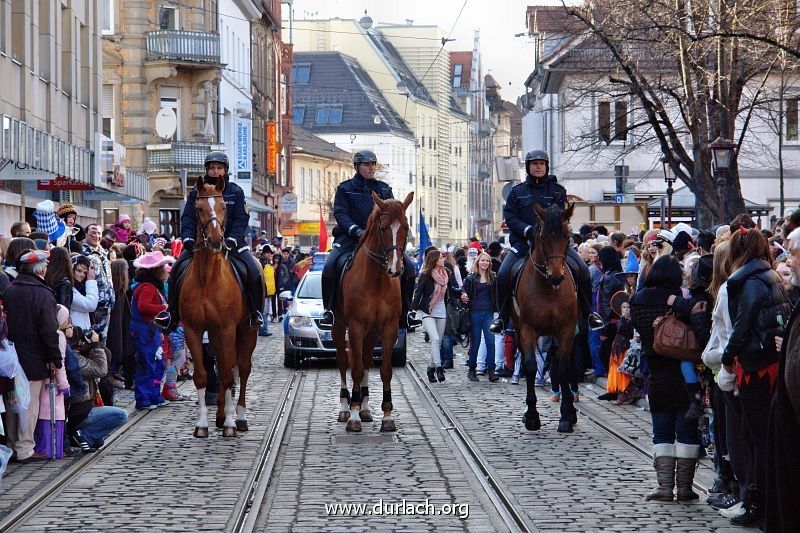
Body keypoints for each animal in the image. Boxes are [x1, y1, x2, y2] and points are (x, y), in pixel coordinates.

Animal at [180, 178, 258, 436]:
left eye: (224, 206)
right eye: (198, 209)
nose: (216, 241)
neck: (207, 279)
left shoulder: (227, 328)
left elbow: (226, 374)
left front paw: (231, 424)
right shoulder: (193, 330)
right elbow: (202, 376)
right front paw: (202, 424)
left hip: (246, 330)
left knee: (240, 369)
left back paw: (239, 417)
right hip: (214, 334)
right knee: (224, 366)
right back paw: (221, 415)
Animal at [334, 191, 416, 432]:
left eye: (406, 227)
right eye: (383, 228)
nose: (396, 269)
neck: (377, 280)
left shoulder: (389, 329)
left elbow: (385, 370)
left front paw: (387, 417)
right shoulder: (355, 327)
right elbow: (356, 369)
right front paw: (353, 417)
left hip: (371, 333)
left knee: (367, 359)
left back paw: (365, 407)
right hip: (339, 326)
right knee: (344, 361)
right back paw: (346, 406)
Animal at [512, 203, 580, 432]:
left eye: (568, 236)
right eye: (543, 237)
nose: (557, 276)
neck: (549, 289)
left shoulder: (567, 329)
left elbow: (564, 369)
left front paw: (566, 415)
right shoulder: (527, 329)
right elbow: (531, 366)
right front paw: (532, 416)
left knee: (561, 364)